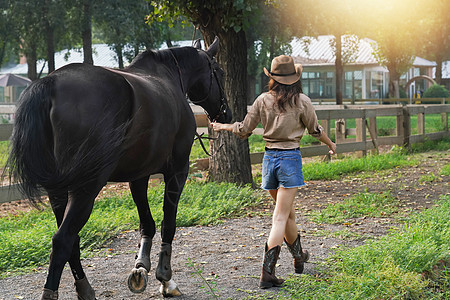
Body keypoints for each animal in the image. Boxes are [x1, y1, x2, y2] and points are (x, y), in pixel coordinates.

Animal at [6, 38, 232, 300]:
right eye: (220, 72)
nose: (227, 115)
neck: (168, 78)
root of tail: (50, 84)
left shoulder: (139, 175)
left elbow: (147, 223)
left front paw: (140, 268)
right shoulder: (177, 171)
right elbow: (168, 223)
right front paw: (165, 278)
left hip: (58, 192)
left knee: (71, 240)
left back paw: (85, 288)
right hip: (85, 189)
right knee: (62, 240)